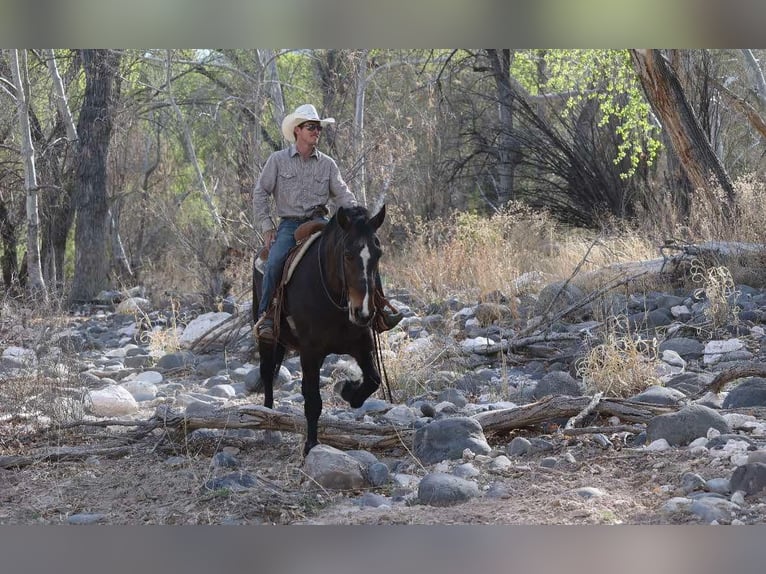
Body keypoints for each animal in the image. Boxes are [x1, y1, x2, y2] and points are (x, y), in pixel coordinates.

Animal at [251, 204, 386, 455]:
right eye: (347, 254)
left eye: (378, 254)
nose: (363, 312)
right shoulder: (310, 351)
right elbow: (313, 401)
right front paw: (311, 445)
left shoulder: (362, 344)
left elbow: (373, 380)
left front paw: (349, 390)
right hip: (268, 339)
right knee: (267, 374)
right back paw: (269, 427)